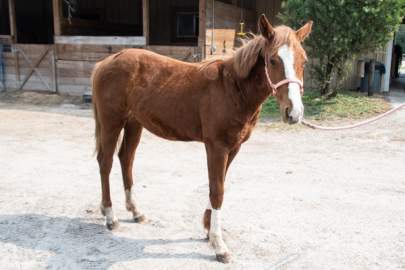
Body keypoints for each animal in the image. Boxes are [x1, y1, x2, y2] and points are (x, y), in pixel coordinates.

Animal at [92, 15, 312, 264]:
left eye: (304, 61)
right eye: (273, 60)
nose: (294, 112)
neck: (232, 89)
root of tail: (105, 63)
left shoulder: (233, 148)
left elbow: (218, 185)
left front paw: (208, 231)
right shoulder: (216, 147)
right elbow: (217, 190)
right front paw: (219, 245)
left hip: (133, 123)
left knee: (125, 159)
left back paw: (135, 211)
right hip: (112, 122)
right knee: (106, 163)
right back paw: (110, 216)